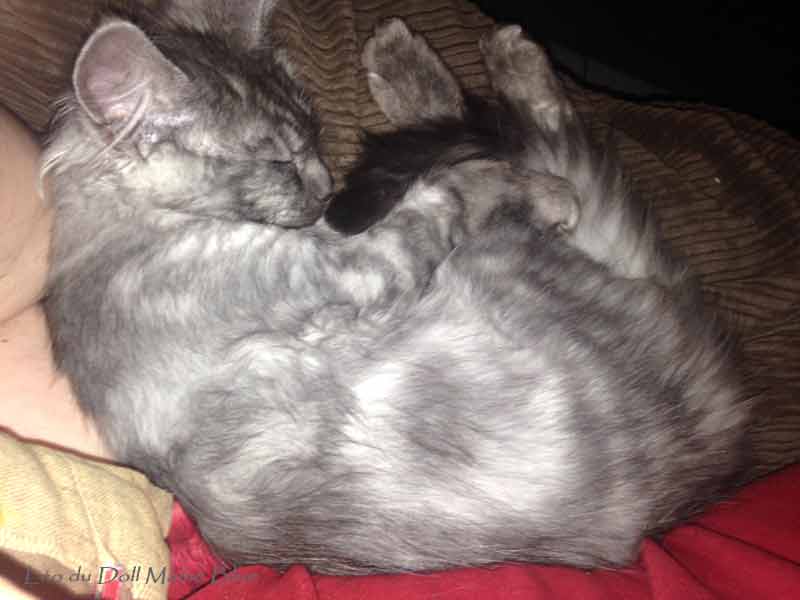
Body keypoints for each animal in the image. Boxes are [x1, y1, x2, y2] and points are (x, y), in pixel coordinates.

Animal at [42, 0, 750, 575]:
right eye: (276, 161)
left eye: (313, 134)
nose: (325, 184)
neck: (113, 236)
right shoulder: (350, 266)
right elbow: (457, 185)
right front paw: (531, 189)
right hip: (522, 264)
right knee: (546, 144)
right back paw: (496, 74)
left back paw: (410, 57)